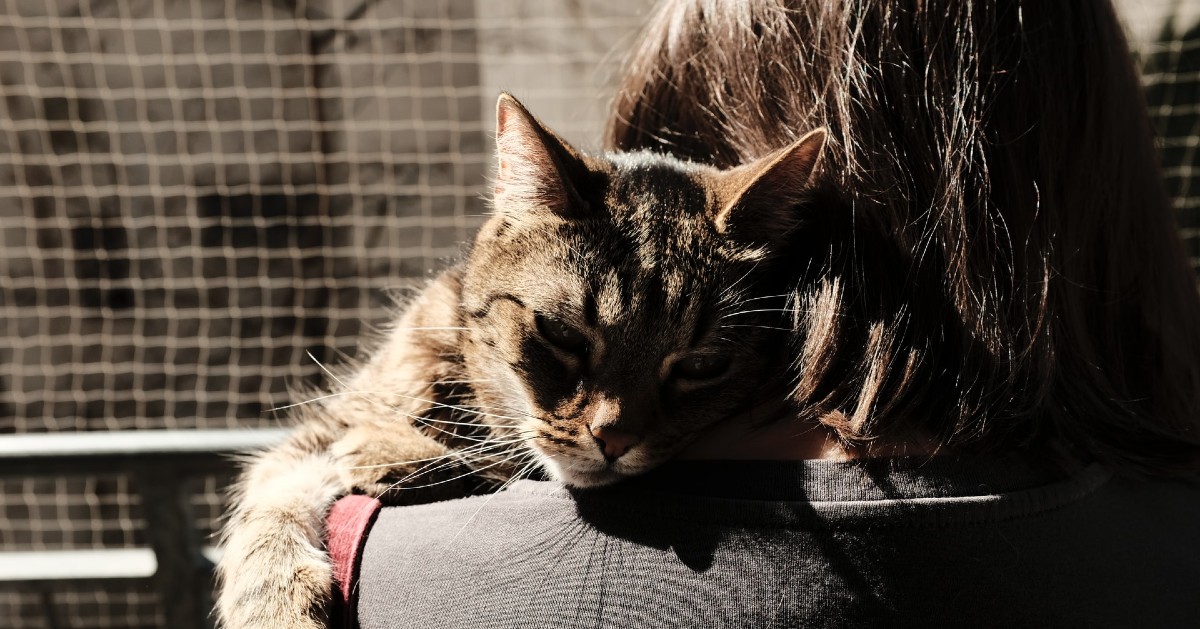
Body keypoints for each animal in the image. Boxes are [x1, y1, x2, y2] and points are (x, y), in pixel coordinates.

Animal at [213, 93, 825, 629]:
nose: (615, 439)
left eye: (701, 366)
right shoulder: (319, 430)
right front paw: (276, 610)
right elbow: (267, 511)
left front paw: (399, 455)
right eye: (562, 333)